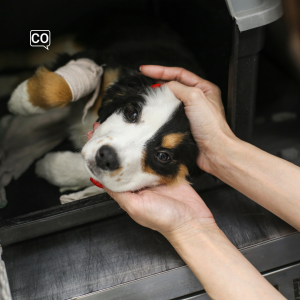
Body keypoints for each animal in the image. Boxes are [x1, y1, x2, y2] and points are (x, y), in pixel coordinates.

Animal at [7, 17, 204, 198]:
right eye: (132, 113)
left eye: (163, 156)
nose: (106, 157)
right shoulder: (100, 61)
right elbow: (59, 86)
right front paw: (20, 101)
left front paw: (51, 166)